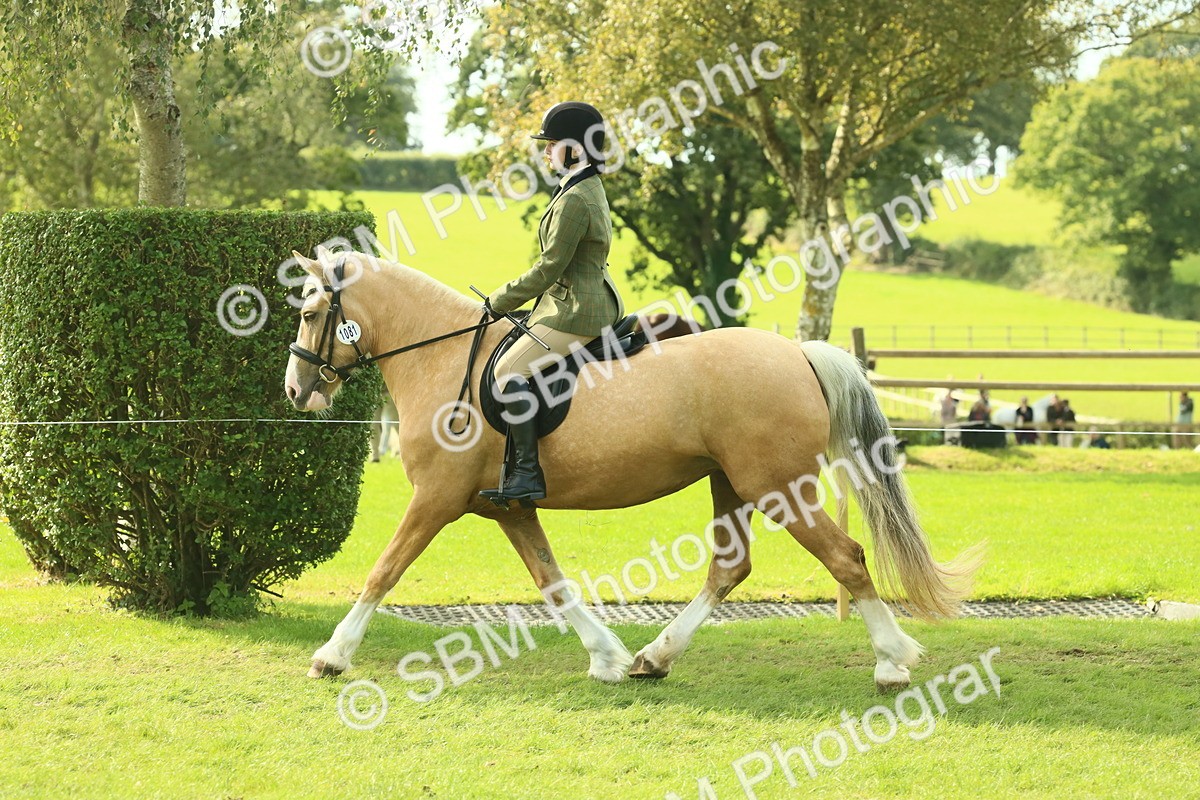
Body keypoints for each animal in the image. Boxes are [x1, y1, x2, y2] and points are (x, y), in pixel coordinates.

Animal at [283, 248, 981, 691]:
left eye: (312, 314)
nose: (296, 390)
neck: (447, 355)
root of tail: (799, 353)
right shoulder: (509, 507)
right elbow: (553, 582)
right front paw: (607, 658)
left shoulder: (437, 498)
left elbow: (384, 570)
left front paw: (332, 656)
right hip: (730, 484)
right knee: (729, 569)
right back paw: (654, 657)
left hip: (780, 489)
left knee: (846, 559)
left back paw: (892, 663)